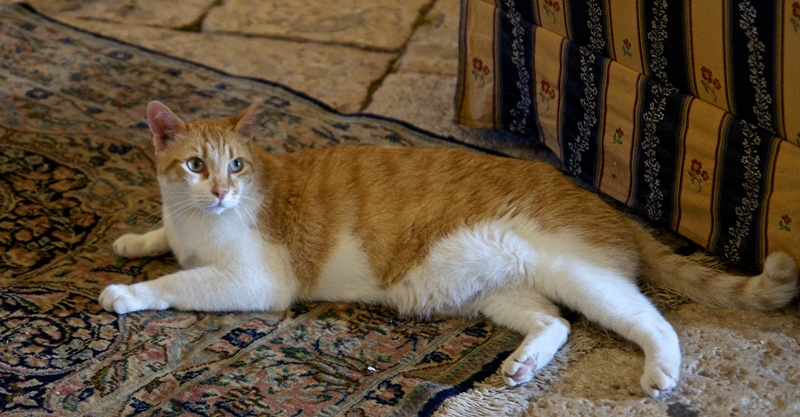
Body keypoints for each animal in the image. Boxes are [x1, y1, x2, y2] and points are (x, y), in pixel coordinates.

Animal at [100, 101, 800, 396]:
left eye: (238, 166)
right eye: (195, 165)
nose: (221, 191)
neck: (198, 222)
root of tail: (612, 211)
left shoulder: (254, 282)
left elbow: (177, 284)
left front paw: (129, 292)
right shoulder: (181, 227)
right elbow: (160, 240)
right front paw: (134, 239)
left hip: (576, 273)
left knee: (653, 320)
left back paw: (659, 373)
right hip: (495, 291)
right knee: (554, 323)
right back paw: (521, 365)